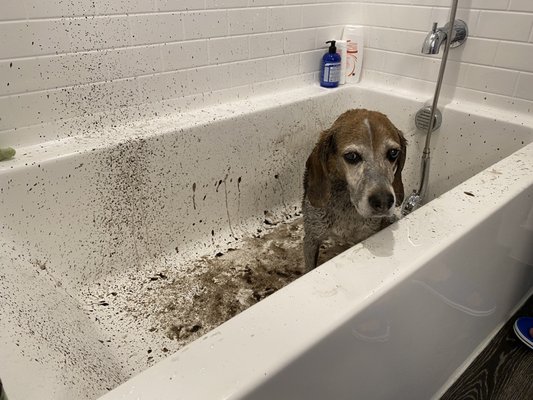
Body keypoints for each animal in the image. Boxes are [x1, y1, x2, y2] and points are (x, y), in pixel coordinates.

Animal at [302, 108, 406, 272]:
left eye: (393, 153)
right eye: (352, 156)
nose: (384, 201)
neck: (346, 205)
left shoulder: (369, 233)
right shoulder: (311, 238)